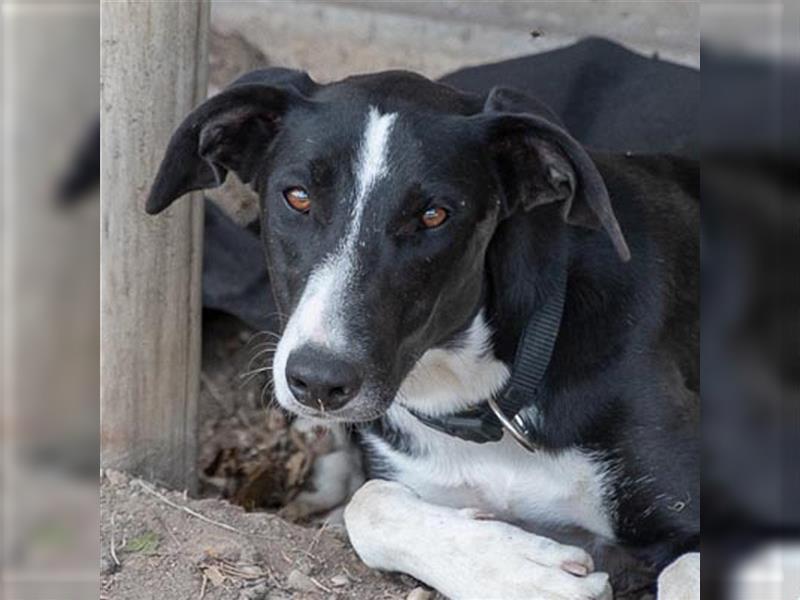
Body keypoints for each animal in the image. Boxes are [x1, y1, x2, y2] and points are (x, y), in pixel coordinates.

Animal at [147, 68, 696, 596]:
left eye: (434, 215)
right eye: (297, 198)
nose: (318, 382)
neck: (479, 395)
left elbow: (681, 576)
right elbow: (369, 502)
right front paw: (519, 573)